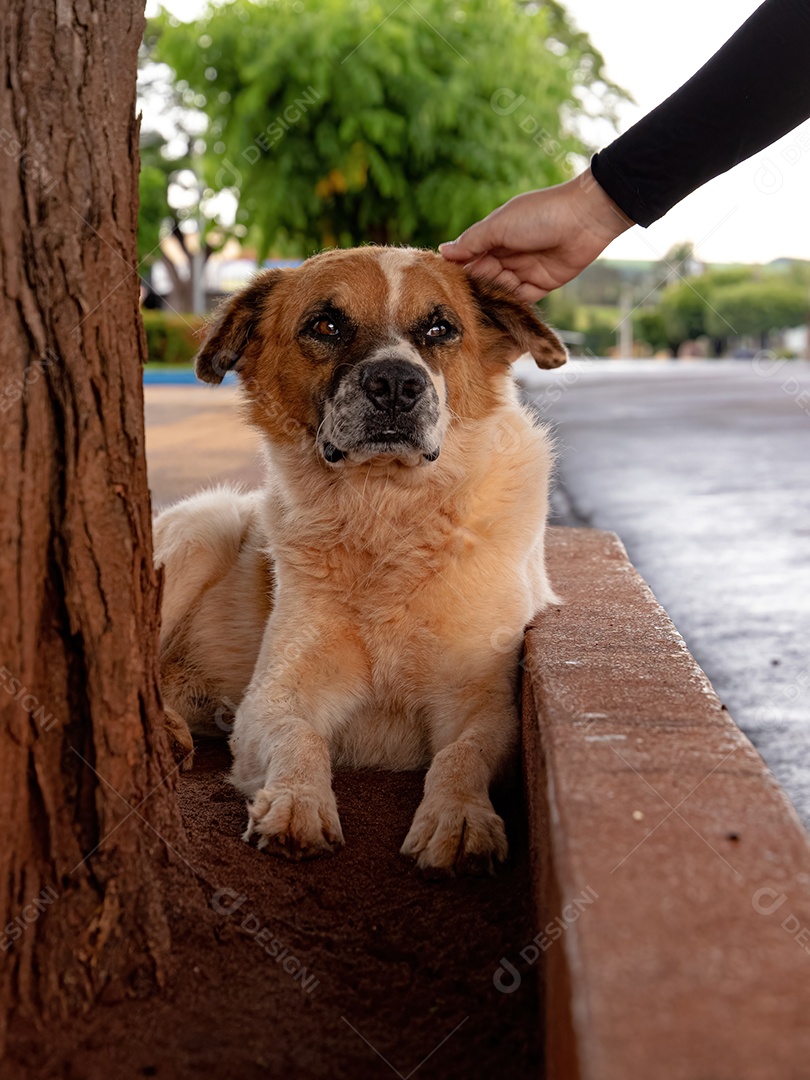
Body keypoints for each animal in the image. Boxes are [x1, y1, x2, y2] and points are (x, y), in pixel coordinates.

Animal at [152, 243, 565, 868]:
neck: (385, 516)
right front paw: (297, 802)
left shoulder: (485, 705)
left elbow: (462, 753)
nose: (395, 383)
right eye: (326, 325)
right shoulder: (274, 697)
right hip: (204, 531)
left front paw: (461, 817)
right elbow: (299, 738)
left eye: (440, 328)